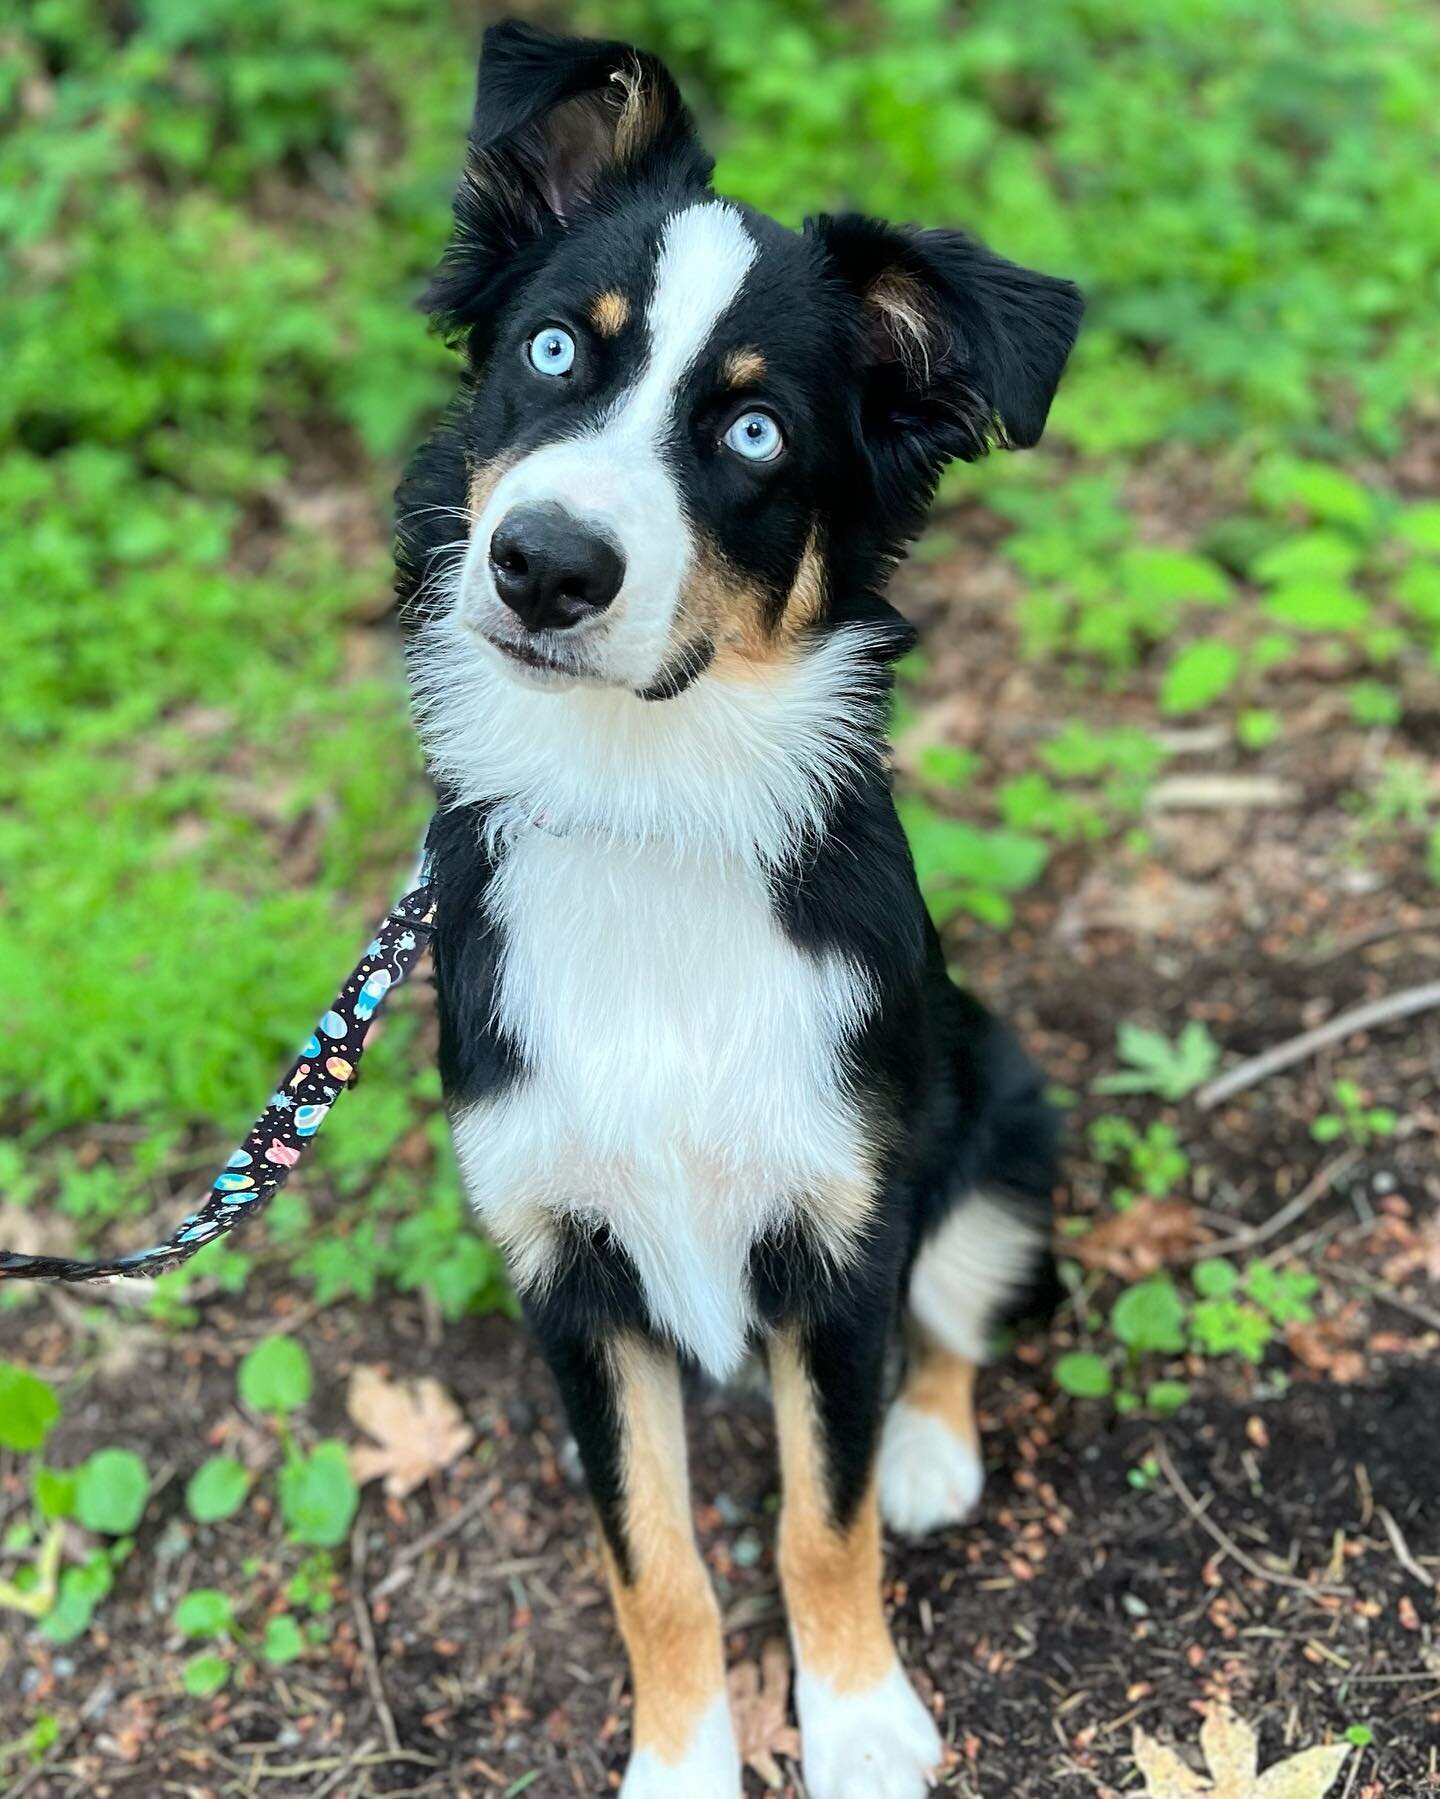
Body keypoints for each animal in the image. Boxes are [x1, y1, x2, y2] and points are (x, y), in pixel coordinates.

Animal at [394, 21, 1080, 1791]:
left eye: (757, 435)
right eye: (552, 347)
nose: (546, 562)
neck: (647, 808)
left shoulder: (839, 1240)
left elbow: (817, 1519)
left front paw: (859, 1722)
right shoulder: (569, 1269)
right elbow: (659, 1561)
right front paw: (684, 1756)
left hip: (998, 1105)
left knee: (955, 1315)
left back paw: (929, 1450)